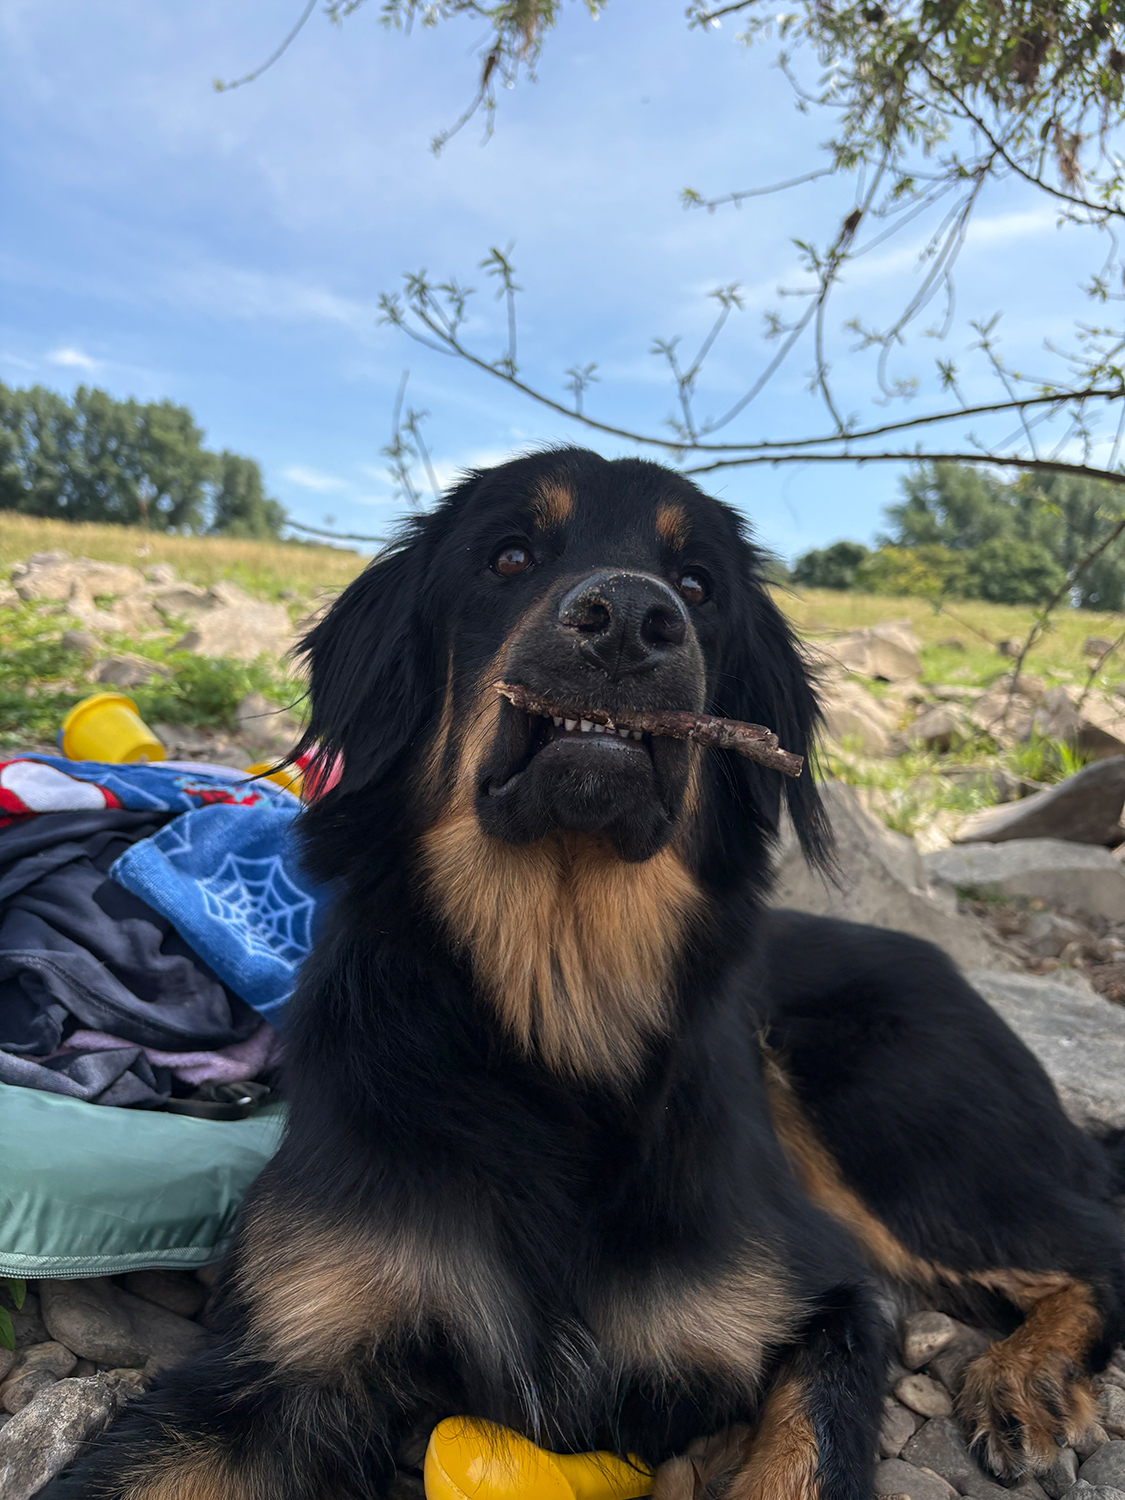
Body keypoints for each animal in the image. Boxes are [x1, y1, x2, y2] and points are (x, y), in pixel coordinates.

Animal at [49, 448, 1125, 1500]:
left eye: (697, 587)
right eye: (509, 556)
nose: (632, 622)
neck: (558, 1001)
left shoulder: (829, 1296)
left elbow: (807, 1455)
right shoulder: (281, 1351)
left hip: (889, 1117)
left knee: (1094, 1243)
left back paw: (1025, 1379)